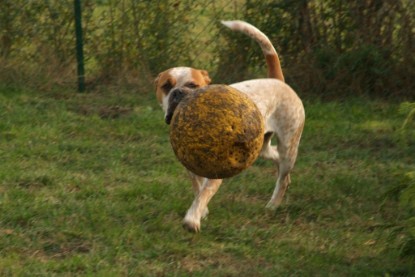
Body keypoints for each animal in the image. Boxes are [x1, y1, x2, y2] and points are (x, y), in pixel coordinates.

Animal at [154, 20, 304, 231]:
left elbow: (204, 193)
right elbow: (198, 188)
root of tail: (277, 81)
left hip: (289, 146)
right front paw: (203, 212)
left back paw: (272, 205)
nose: (178, 92)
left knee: (283, 176)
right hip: (262, 149)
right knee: (276, 158)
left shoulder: (216, 170)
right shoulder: (191, 165)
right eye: (166, 86)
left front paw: (192, 219)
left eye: (192, 85)